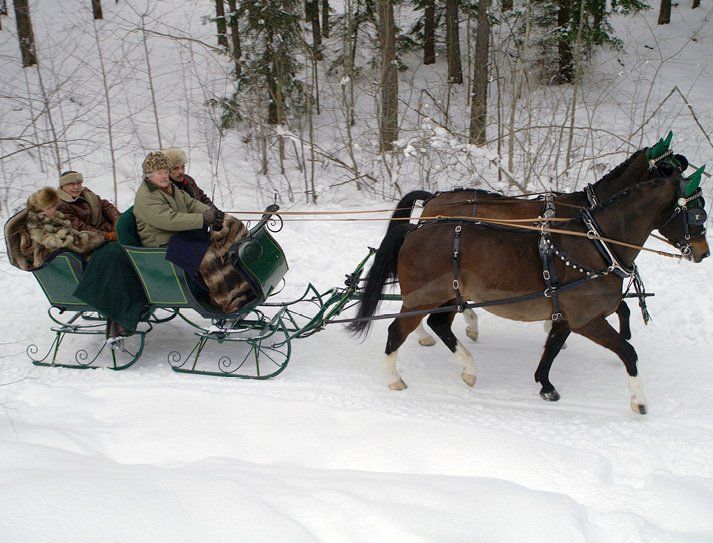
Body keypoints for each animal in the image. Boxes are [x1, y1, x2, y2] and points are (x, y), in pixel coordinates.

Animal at [350, 169, 709, 414]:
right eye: (696, 213)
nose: (703, 253)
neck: (598, 245)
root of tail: (415, 229)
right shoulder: (587, 319)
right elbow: (628, 352)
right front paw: (639, 401)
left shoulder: (566, 314)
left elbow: (552, 347)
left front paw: (546, 385)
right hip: (422, 297)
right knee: (397, 331)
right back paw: (394, 377)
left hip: (449, 296)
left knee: (439, 325)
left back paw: (468, 368)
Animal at [390, 137, 687, 346]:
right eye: (667, 169)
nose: (685, 194)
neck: (590, 213)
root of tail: (433, 198)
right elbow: (619, 307)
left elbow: (621, 307)